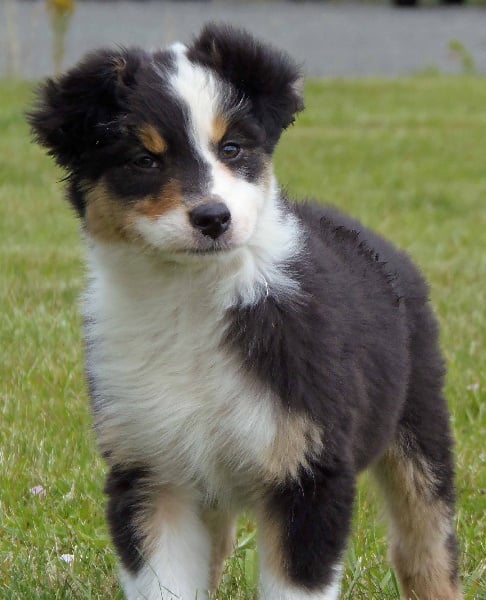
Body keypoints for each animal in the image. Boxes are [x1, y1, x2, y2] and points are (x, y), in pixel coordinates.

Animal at [28, 23, 462, 600]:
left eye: (231, 148)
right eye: (145, 160)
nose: (214, 217)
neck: (193, 297)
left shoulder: (310, 472)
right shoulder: (150, 472)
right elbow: (166, 584)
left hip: (420, 420)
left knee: (426, 547)